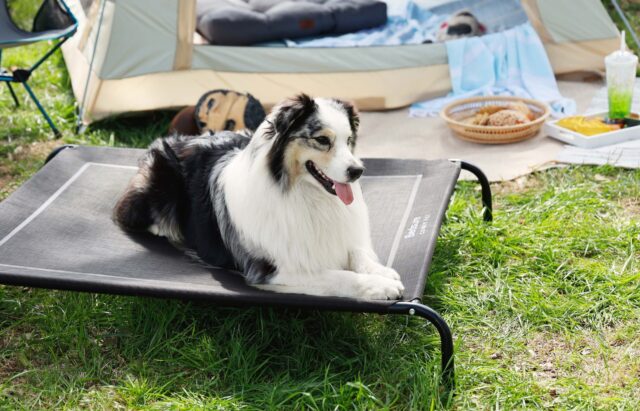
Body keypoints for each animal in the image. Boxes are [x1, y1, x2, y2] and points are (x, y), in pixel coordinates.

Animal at [114, 95, 404, 300]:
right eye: (322, 140)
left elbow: (358, 253)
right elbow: (339, 276)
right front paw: (380, 286)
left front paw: (382, 272)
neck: (302, 194)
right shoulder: (270, 269)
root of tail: (170, 139)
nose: (357, 171)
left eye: (349, 139)